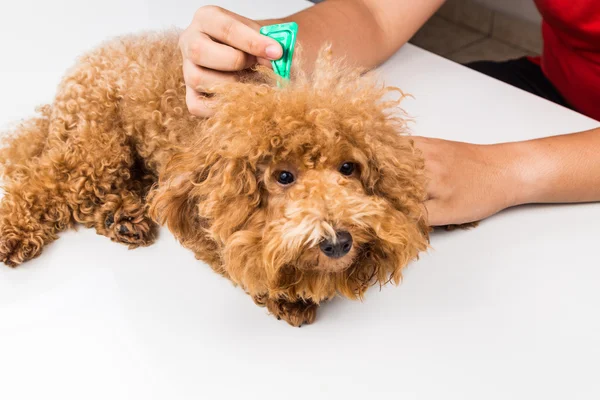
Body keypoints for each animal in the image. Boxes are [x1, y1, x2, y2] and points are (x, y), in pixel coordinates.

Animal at [0, 30, 432, 324]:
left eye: (348, 168)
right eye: (284, 176)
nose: (339, 242)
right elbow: (241, 258)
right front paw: (286, 293)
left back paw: (121, 217)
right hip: (95, 144)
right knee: (49, 181)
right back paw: (15, 232)